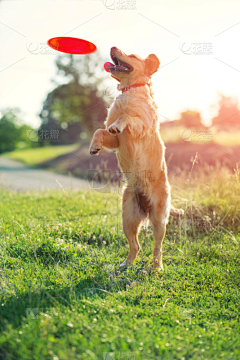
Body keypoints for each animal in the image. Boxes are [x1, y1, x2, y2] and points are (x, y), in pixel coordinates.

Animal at [89, 46, 183, 268]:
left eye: (131, 56)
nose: (112, 47)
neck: (129, 91)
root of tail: (145, 207)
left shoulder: (140, 126)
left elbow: (127, 117)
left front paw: (120, 123)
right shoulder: (115, 140)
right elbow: (100, 130)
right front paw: (94, 146)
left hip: (159, 219)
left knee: (158, 248)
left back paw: (157, 268)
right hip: (128, 217)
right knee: (136, 245)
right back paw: (126, 265)